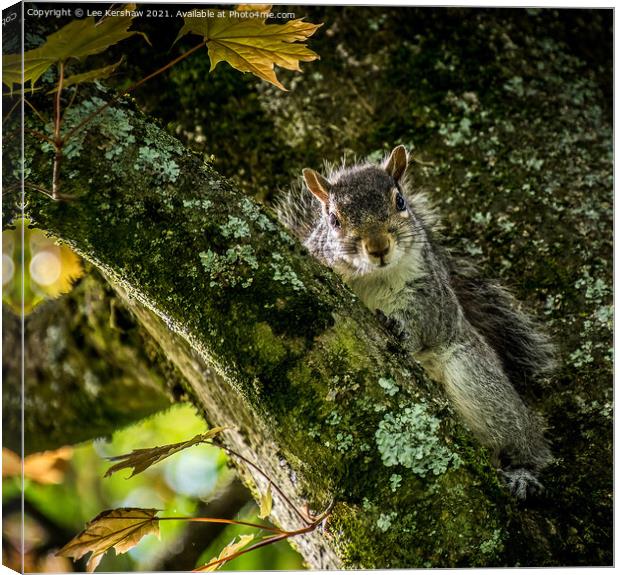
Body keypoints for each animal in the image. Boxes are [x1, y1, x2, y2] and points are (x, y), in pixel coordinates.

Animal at [278, 145, 556, 500]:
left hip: (478, 381)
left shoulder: (430, 293)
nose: (378, 247)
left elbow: (427, 321)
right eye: (333, 219)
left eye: (400, 202)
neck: (371, 276)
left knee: (524, 442)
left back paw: (522, 472)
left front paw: (400, 328)